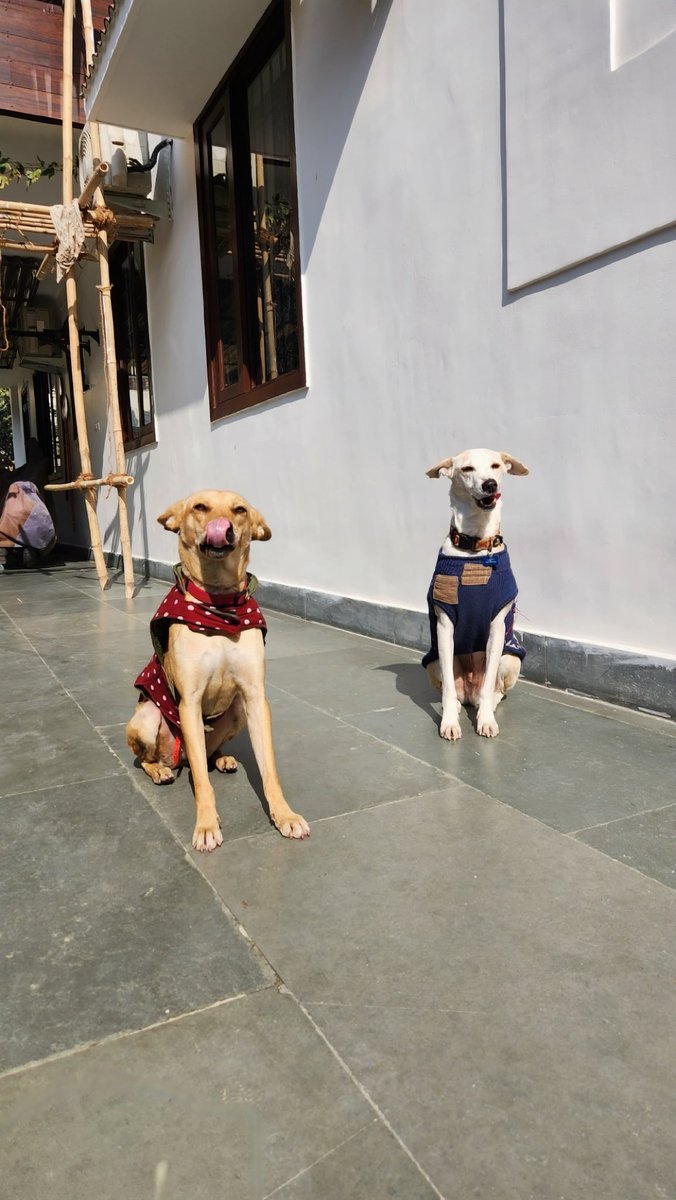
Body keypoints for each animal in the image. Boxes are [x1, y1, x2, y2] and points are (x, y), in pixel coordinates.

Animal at [127, 489, 309, 854]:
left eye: (239, 510)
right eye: (200, 507)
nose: (222, 528)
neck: (219, 605)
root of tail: (176, 759)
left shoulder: (254, 697)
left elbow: (270, 771)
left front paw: (284, 815)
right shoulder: (190, 702)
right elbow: (201, 783)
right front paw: (207, 825)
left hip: (236, 711)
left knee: (207, 756)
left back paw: (222, 759)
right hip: (147, 718)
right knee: (149, 759)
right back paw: (159, 771)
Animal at [422, 448, 528, 734]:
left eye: (495, 466)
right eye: (467, 469)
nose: (489, 484)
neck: (476, 547)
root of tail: (469, 693)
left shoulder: (497, 628)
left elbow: (490, 680)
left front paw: (486, 721)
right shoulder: (444, 627)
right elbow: (448, 686)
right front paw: (449, 722)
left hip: (510, 658)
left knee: (494, 691)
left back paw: (485, 705)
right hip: (432, 662)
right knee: (453, 691)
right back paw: (458, 707)